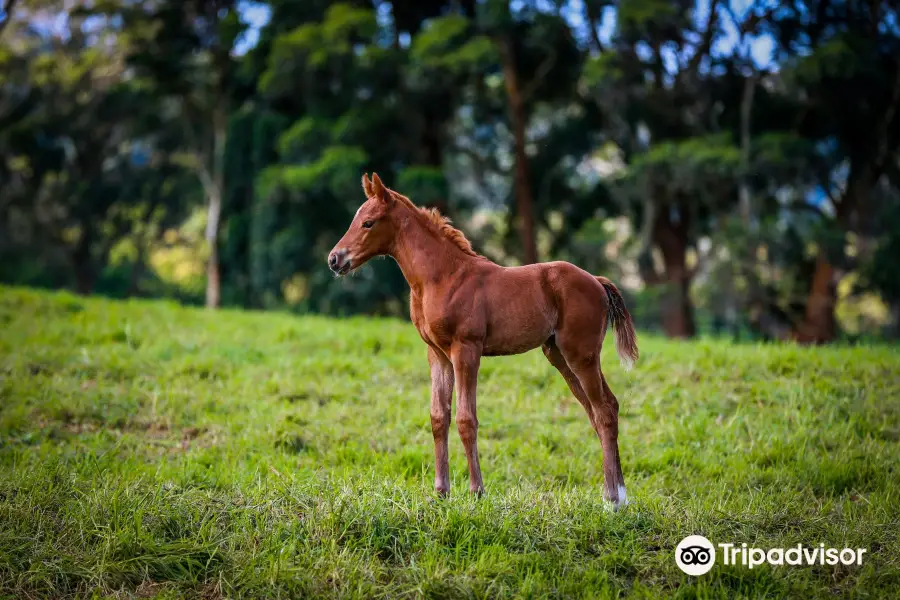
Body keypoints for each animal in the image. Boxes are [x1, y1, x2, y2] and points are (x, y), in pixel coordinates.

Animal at [330, 173, 640, 506]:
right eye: (355, 219)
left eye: (368, 223)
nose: (335, 259)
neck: (442, 277)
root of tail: (596, 281)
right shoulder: (437, 354)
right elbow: (438, 417)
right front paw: (440, 492)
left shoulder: (466, 349)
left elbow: (466, 419)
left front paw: (476, 492)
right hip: (558, 354)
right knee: (601, 409)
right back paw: (616, 493)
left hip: (581, 353)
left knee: (604, 410)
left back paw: (614, 500)